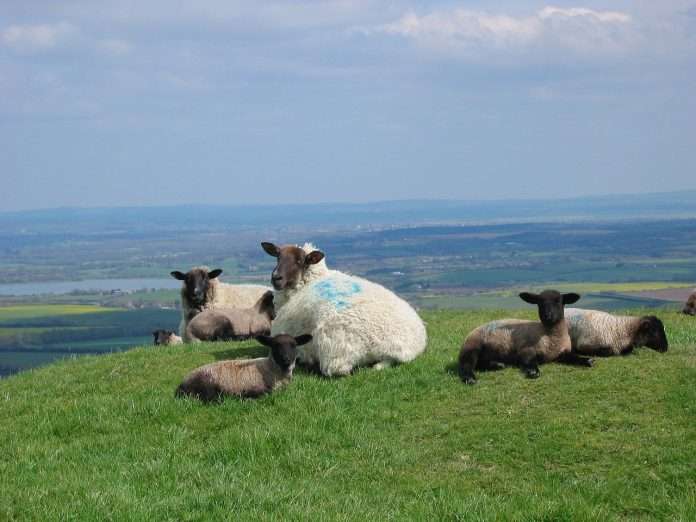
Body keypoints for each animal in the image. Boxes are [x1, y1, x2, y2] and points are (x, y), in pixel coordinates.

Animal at [175, 333, 312, 401]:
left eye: (293, 345)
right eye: (275, 345)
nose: (286, 359)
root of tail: (180, 386)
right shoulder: (256, 388)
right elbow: (265, 394)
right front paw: (246, 398)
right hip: (207, 386)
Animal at [458, 290, 590, 384]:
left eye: (559, 301)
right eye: (540, 303)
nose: (548, 316)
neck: (549, 336)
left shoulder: (562, 353)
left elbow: (574, 357)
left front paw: (587, 360)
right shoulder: (526, 349)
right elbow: (529, 360)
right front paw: (533, 372)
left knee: (480, 364)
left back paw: (497, 365)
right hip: (472, 346)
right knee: (466, 364)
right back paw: (470, 378)